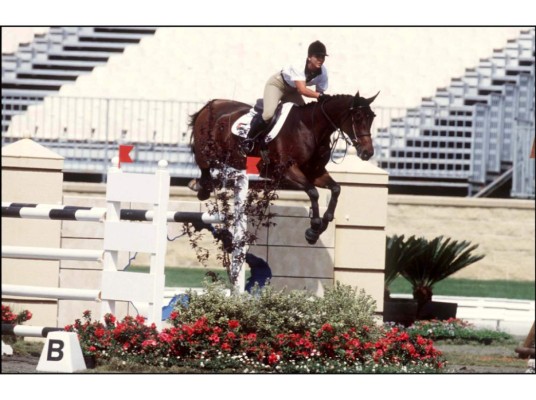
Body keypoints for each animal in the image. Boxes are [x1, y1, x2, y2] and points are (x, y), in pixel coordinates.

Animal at [188, 91, 376, 245]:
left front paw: (323, 223)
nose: (368, 153)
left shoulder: (315, 173)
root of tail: (212, 103)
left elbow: (336, 189)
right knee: (204, 166)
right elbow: (313, 192)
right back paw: (201, 188)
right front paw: (313, 229)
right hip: (206, 151)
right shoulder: (287, 172)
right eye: (358, 116)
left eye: (372, 117)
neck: (310, 128)